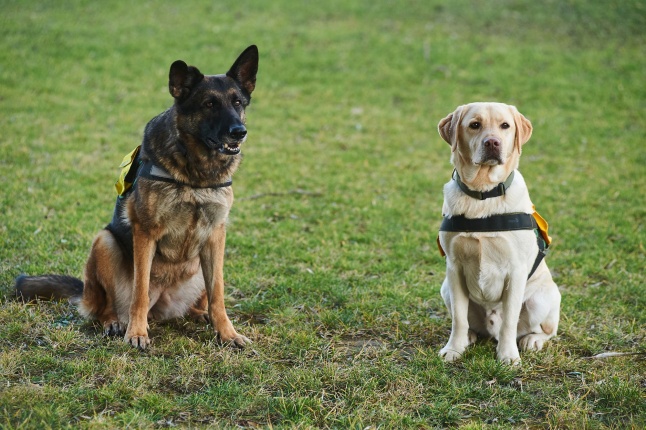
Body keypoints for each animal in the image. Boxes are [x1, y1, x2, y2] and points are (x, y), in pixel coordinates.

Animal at [15, 46, 258, 350]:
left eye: (238, 102)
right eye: (209, 104)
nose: (239, 132)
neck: (196, 175)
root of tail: (163, 308)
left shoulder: (216, 235)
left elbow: (218, 293)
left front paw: (227, 332)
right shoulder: (145, 232)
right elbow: (139, 290)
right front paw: (137, 333)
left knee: (203, 299)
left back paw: (200, 314)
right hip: (104, 242)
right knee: (107, 306)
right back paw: (115, 322)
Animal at [440, 102, 560, 364]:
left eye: (505, 125)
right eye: (475, 125)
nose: (492, 142)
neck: (483, 194)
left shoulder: (516, 271)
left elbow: (509, 323)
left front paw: (508, 356)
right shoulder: (454, 267)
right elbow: (458, 319)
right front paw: (454, 348)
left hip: (541, 299)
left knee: (547, 330)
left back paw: (533, 340)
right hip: (445, 288)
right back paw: (470, 336)